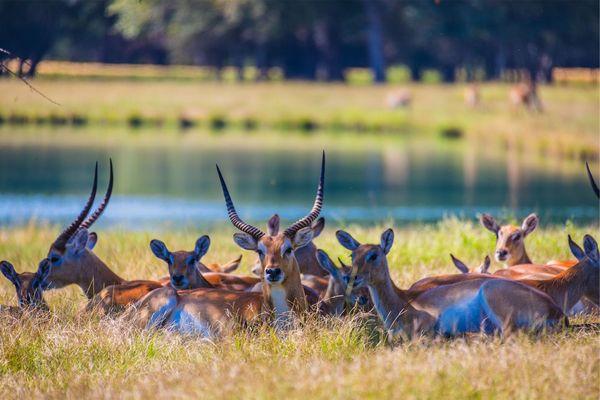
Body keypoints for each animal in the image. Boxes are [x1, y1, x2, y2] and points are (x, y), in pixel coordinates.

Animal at [338, 228, 568, 340]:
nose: (351, 278)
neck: (401, 303)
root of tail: (557, 311)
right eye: (352, 255)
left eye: (373, 255)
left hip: (494, 299)